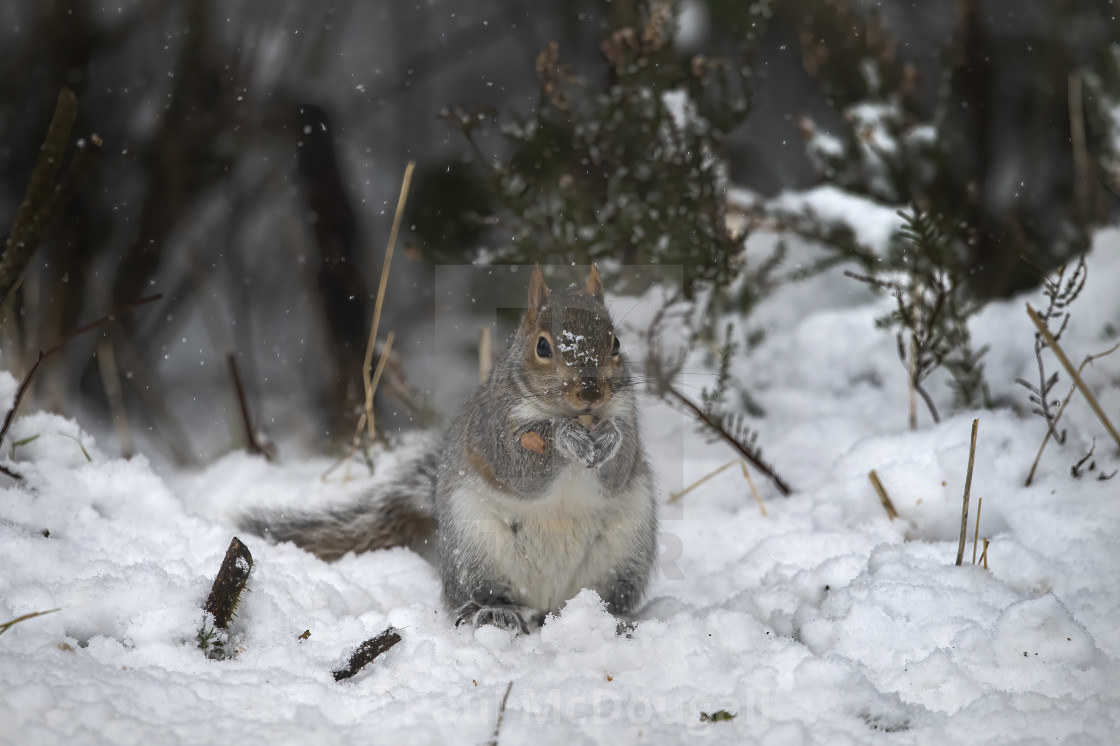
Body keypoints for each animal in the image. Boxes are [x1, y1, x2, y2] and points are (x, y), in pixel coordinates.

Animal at [237, 264, 654, 631]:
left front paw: (609, 438)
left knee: (612, 597)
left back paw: (612, 620)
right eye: (542, 347)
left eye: (616, 343)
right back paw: (498, 613)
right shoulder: (492, 430)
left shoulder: (629, 419)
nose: (591, 392)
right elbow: (521, 468)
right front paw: (566, 437)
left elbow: (620, 466)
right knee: (481, 594)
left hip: (625, 552)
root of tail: (548, 604)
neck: (574, 415)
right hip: (475, 549)